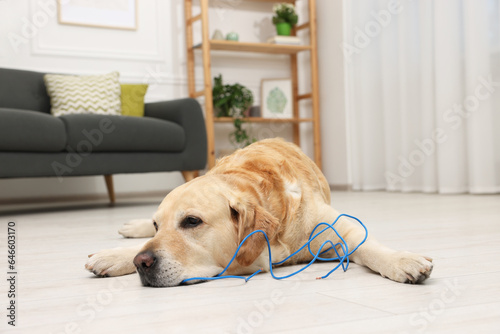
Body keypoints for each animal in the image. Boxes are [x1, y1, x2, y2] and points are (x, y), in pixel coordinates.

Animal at [84, 138, 432, 288]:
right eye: (160, 225)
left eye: (192, 221)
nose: (141, 264)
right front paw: (115, 255)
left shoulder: (340, 229)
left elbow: (370, 246)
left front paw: (402, 260)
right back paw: (132, 227)